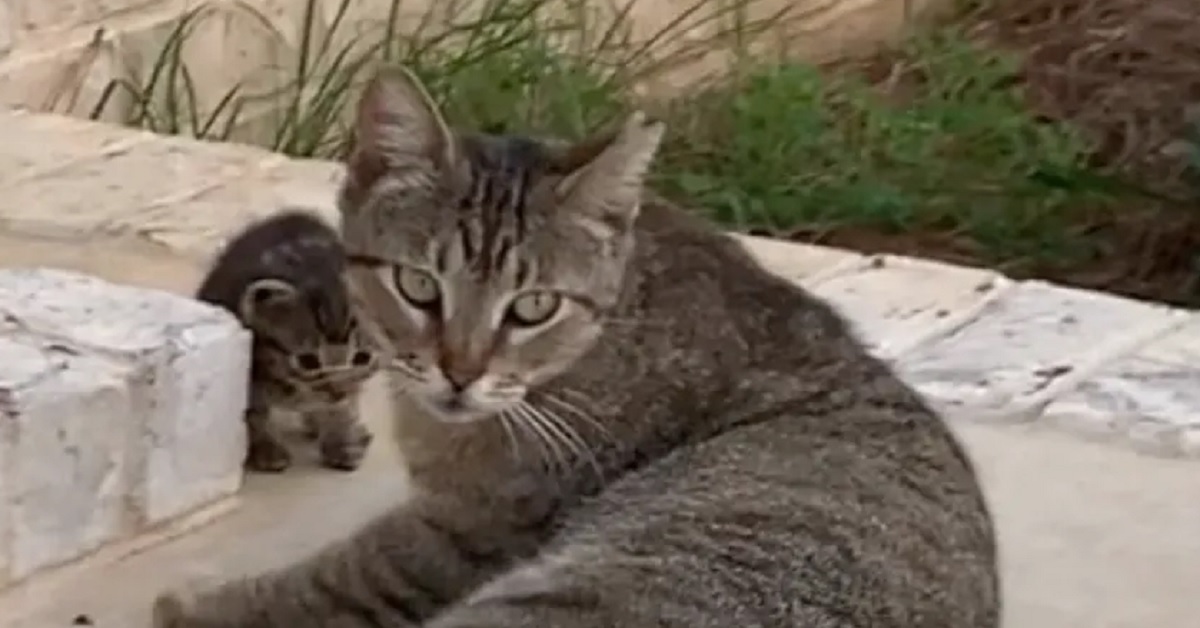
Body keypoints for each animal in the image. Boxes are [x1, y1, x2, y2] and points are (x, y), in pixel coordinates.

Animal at [195, 208, 379, 475]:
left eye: (362, 357)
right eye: (308, 361)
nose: (336, 391)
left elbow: (345, 406)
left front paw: (342, 440)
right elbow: (253, 411)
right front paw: (266, 448)